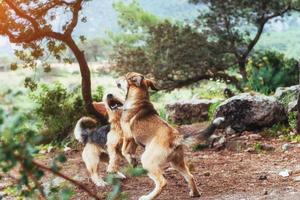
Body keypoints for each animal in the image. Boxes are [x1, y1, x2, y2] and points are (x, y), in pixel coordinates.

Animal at [116, 72, 224, 200]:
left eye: (125, 76)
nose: (116, 79)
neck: (139, 99)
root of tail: (176, 137)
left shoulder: (128, 136)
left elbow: (124, 151)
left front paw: (131, 160)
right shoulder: (134, 140)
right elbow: (129, 151)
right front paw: (132, 160)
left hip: (148, 161)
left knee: (162, 182)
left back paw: (148, 197)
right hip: (177, 162)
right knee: (190, 176)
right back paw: (195, 193)